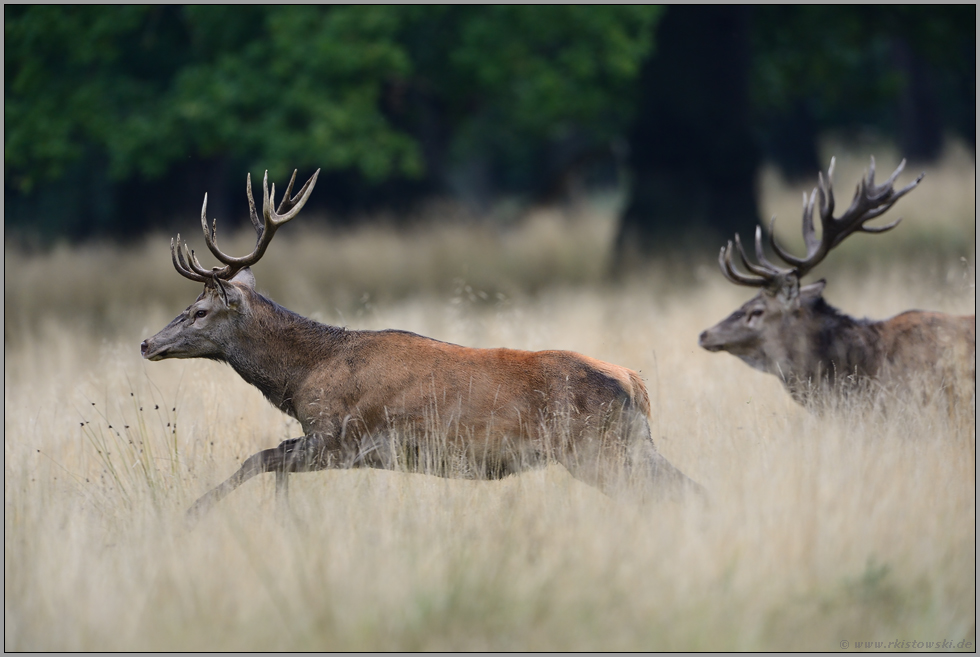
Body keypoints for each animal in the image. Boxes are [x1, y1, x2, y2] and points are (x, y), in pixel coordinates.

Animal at [142, 170, 700, 524]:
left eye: (199, 310)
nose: (147, 342)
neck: (301, 377)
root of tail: (635, 381)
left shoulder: (342, 437)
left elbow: (257, 459)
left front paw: (191, 515)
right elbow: (269, 459)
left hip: (592, 448)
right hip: (631, 444)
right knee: (688, 488)